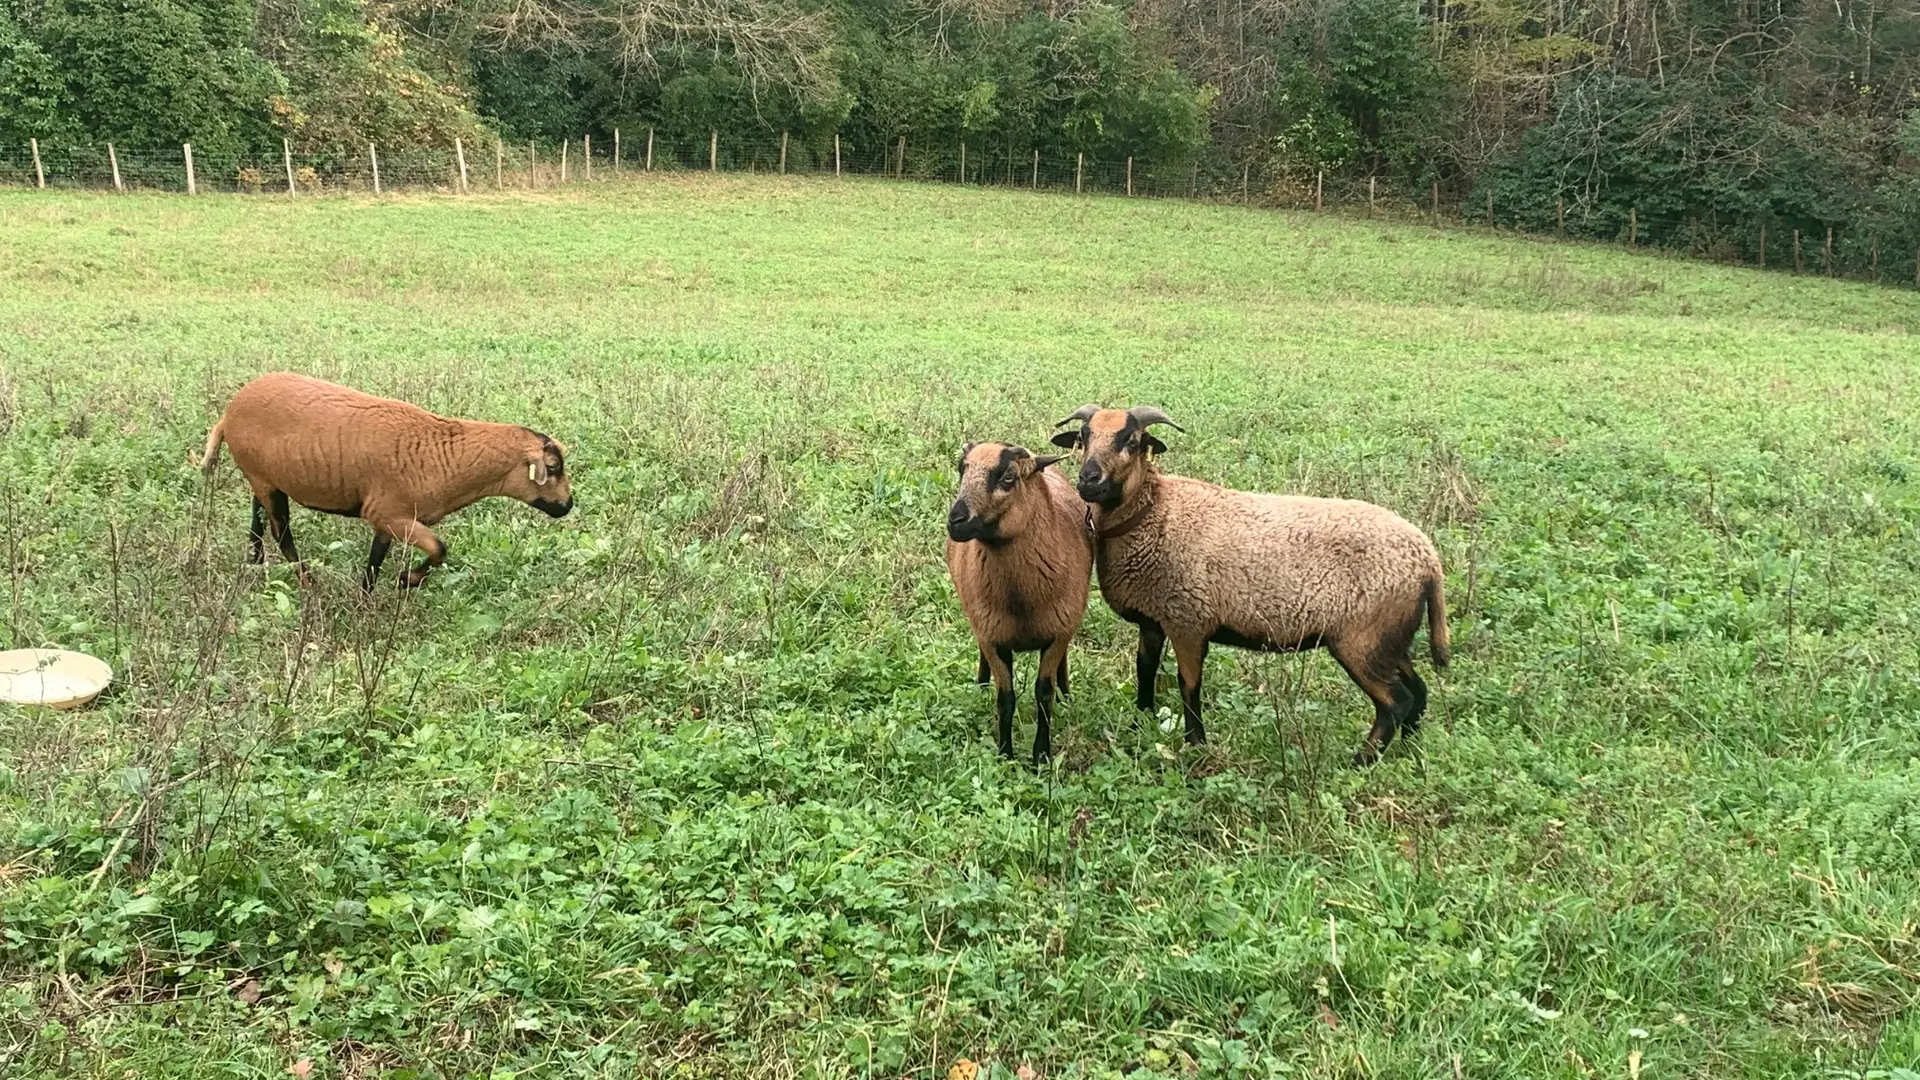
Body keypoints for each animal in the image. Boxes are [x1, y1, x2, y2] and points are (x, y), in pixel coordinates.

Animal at [200, 372, 574, 590]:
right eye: (553, 467)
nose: (567, 506)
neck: (447, 457)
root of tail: (228, 414)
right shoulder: (388, 512)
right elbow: (439, 548)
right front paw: (407, 580)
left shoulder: (387, 517)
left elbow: (375, 560)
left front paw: (366, 598)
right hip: (262, 478)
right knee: (281, 531)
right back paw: (308, 583)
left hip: (263, 475)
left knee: (257, 518)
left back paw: (254, 563)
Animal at [946, 440, 1095, 763]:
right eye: (962, 468)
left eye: (1008, 477)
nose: (956, 521)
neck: (1020, 602)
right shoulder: (993, 638)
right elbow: (1006, 698)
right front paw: (1005, 754)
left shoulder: (1058, 634)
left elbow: (1043, 694)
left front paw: (1041, 756)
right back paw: (981, 685)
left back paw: (1067, 695)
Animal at [1051, 405, 1449, 765]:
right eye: (1084, 437)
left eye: (1131, 441)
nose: (1088, 480)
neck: (1154, 513)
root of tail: (1428, 558)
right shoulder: (1153, 618)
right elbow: (1145, 670)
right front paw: (1140, 723)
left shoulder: (1189, 620)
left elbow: (1188, 685)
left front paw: (1195, 744)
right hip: (1390, 636)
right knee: (1418, 691)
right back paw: (1409, 753)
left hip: (1363, 639)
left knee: (1395, 703)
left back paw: (1359, 763)